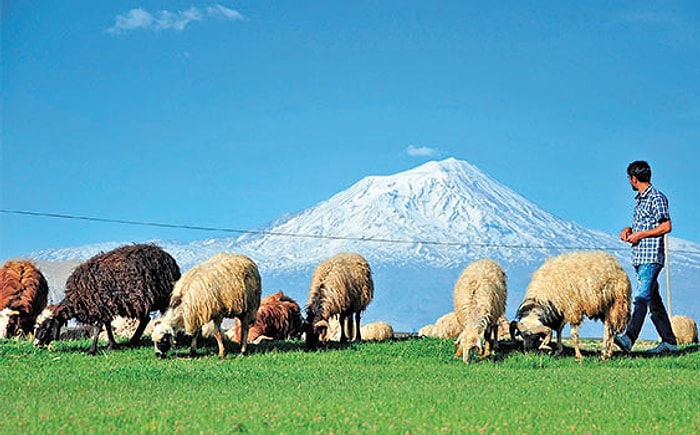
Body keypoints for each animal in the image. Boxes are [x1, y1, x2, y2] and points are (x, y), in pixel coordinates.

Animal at [33, 244, 180, 356]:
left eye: (46, 326)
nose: (35, 343)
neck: (77, 299)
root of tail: (168, 257)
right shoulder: (105, 307)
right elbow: (108, 326)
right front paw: (111, 345)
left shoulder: (100, 306)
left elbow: (98, 327)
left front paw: (92, 350)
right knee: (146, 319)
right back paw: (132, 341)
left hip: (164, 299)